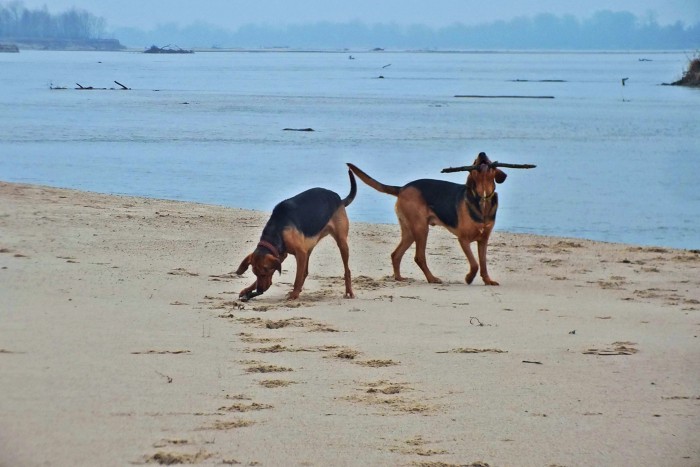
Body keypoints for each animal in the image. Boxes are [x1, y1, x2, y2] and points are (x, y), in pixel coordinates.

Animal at [237, 170, 356, 302]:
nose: (259, 290)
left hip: (341, 242)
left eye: (264, 273)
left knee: (347, 270)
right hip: (309, 247)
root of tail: (339, 199)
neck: (278, 227)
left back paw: (349, 291)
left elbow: (297, 278)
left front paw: (294, 295)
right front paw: (248, 290)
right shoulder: (281, 254)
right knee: (306, 272)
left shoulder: (300, 253)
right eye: (255, 273)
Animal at [348, 154, 512, 286]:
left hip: (410, 231)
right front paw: (469, 278)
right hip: (421, 229)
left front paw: (488, 280)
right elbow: (475, 264)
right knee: (419, 257)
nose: (482, 153)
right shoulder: (463, 239)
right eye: (475, 161)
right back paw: (431, 278)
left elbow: (483, 264)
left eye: (488, 158)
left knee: (396, 254)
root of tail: (402, 188)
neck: (482, 197)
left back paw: (399, 278)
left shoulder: (483, 240)